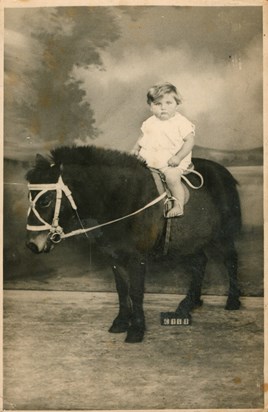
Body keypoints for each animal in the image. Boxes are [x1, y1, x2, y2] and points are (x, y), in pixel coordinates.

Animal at [26, 146, 242, 342]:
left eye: (45, 200)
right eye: (30, 198)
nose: (32, 244)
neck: (121, 196)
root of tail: (222, 171)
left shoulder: (137, 258)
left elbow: (136, 291)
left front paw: (137, 328)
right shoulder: (114, 256)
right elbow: (122, 290)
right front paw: (121, 322)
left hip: (223, 235)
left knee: (230, 260)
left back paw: (232, 300)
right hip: (190, 240)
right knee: (199, 262)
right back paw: (189, 303)